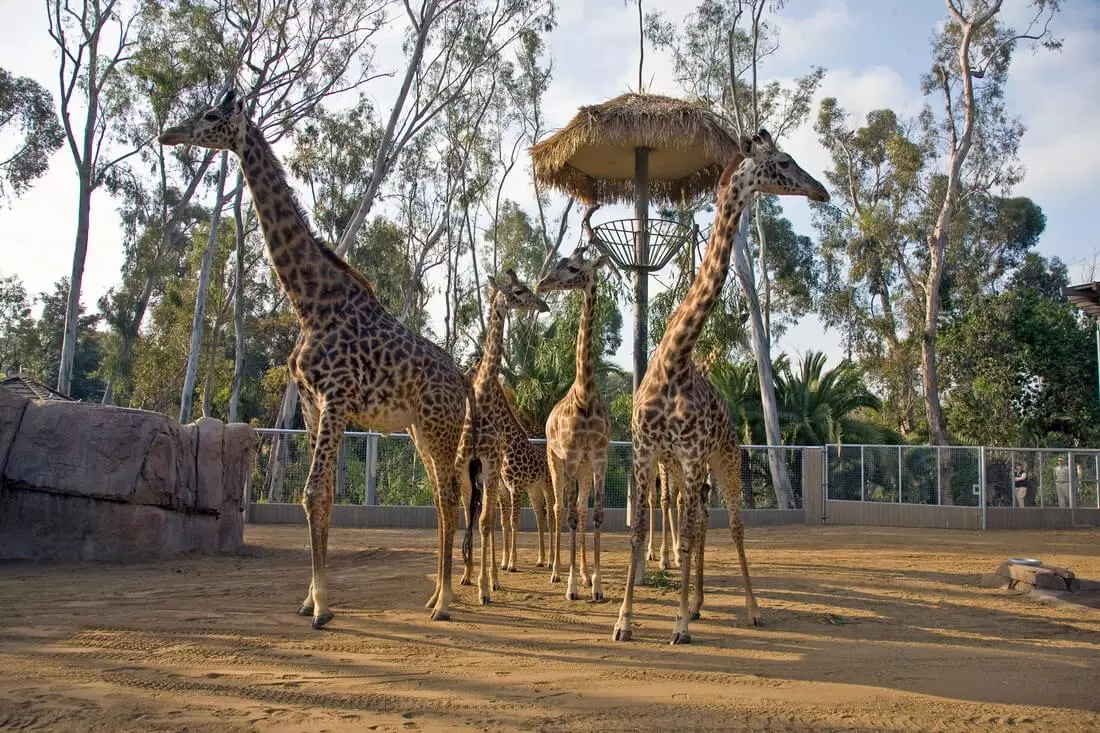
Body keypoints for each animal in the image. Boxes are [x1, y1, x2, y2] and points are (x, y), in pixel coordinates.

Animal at [157, 88, 484, 629]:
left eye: (210, 114)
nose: (169, 133)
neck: (309, 301)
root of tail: (461, 379)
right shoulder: (312, 405)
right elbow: (321, 496)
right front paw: (310, 600)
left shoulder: (336, 396)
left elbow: (313, 493)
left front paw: (323, 607)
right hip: (420, 427)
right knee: (443, 498)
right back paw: (435, 597)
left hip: (440, 425)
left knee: (450, 498)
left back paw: (445, 604)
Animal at [457, 268, 547, 598]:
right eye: (518, 291)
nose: (543, 304)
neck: (482, 402)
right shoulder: (465, 470)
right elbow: (469, 519)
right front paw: (467, 576)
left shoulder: (491, 469)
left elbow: (486, 522)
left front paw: (485, 585)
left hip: (499, 480)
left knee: (496, 520)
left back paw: (494, 578)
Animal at [607, 128, 827, 642]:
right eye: (784, 161)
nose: (821, 191)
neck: (675, 360)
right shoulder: (647, 452)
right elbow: (638, 531)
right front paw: (625, 621)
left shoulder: (689, 456)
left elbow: (687, 536)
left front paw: (679, 626)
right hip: (696, 466)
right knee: (704, 520)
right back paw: (699, 603)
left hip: (724, 459)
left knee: (733, 526)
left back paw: (749, 608)